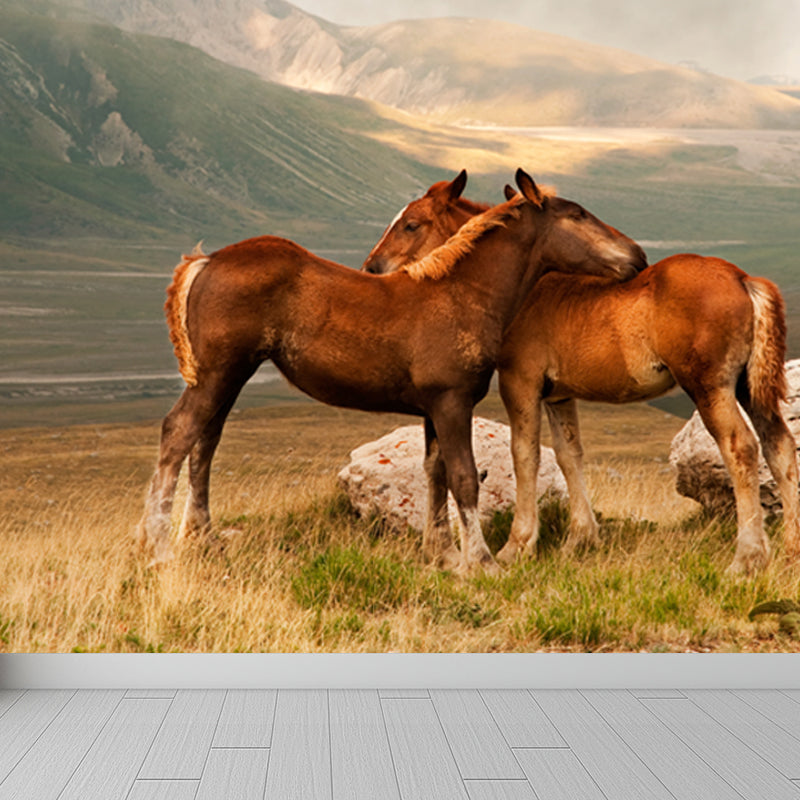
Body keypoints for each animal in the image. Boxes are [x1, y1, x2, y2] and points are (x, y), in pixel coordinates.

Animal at [137, 169, 647, 574]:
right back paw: (158, 547)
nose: (638, 255)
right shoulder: (451, 401)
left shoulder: (433, 408)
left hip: (230, 377)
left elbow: (435, 472)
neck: (462, 293)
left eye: (412, 223)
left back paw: (202, 538)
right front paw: (480, 562)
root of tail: (207, 260)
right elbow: (464, 478)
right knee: (178, 433)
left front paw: (444, 556)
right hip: (218, 374)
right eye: (578, 214)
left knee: (205, 442)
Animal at [363, 171, 800, 574]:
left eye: (411, 224)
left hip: (710, 386)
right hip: (747, 387)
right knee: (779, 446)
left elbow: (525, 454)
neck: (525, 288)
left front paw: (517, 546)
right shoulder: (558, 394)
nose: (371, 268)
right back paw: (790, 550)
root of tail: (743, 279)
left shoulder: (520, 382)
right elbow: (569, 455)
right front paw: (581, 539)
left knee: (741, 448)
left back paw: (747, 557)